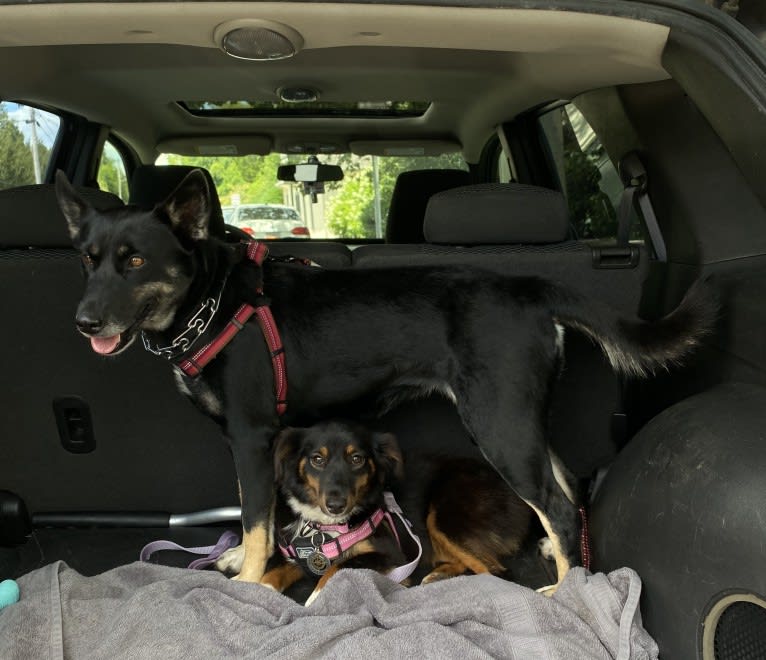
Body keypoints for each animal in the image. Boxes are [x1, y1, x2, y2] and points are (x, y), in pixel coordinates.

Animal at [260, 418, 544, 604]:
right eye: (317, 459)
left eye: (357, 459)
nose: (336, 505)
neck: (324, 528)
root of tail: (519, 498)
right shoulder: (297, 555)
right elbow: (269, 575)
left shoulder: (391, 555)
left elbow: (339, 566)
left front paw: (317, 599)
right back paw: (439, 575)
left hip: (444, 516)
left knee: (499, 573)